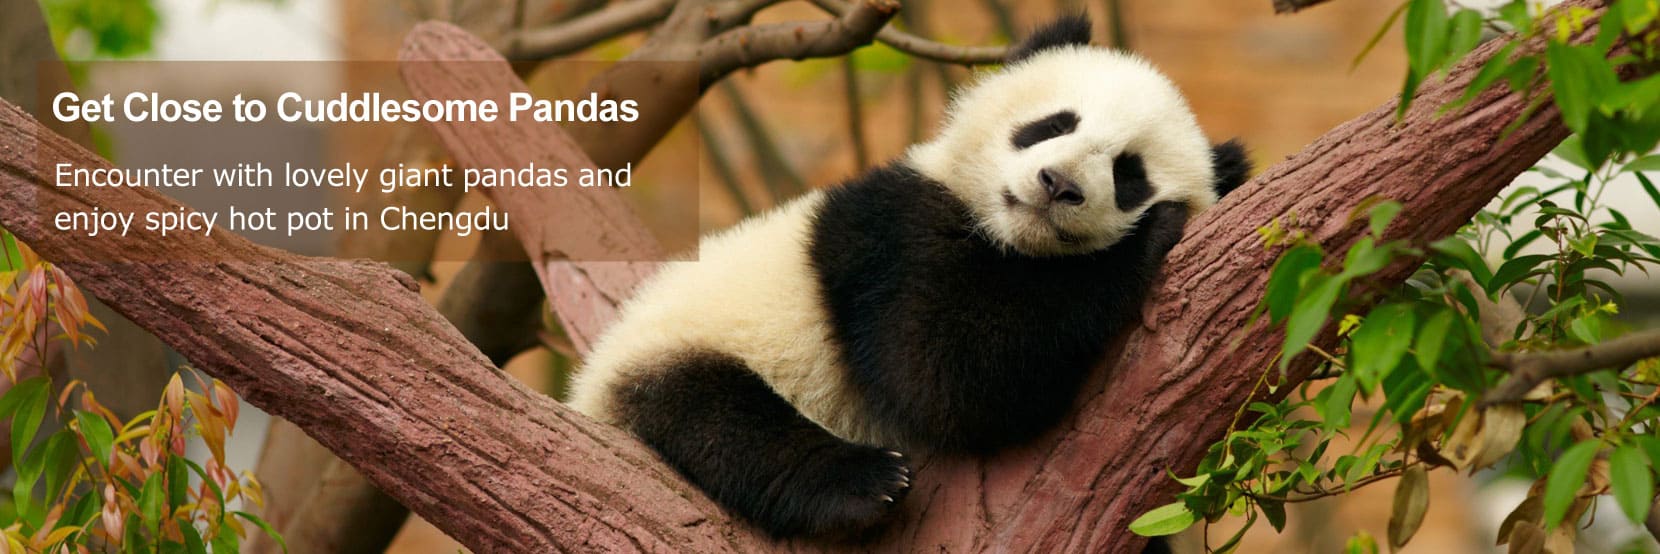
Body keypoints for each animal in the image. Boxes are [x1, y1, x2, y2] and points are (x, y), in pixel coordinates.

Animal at [567, 14, 1250, 543]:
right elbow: (944, 373)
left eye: (1129, 173)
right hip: (678, 344)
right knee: (716, 417)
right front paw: (1148, 237)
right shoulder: (890, 235)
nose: (1058, 185)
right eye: (1055, 124)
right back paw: (863, 483)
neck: (1008, 239)